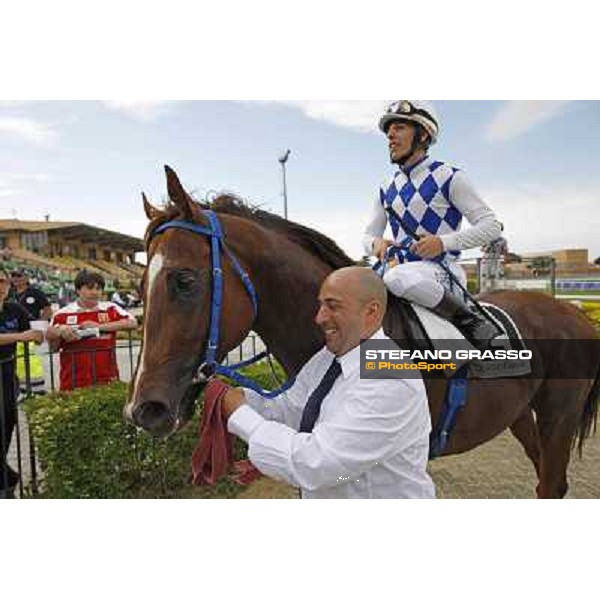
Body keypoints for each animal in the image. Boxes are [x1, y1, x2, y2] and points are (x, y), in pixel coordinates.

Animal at [126, 166, 600, 500]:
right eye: (138, 287)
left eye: (185, 280)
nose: (142, 409)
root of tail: (572, 311)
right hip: (520, 414)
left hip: (559, 416)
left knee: (551, 484)